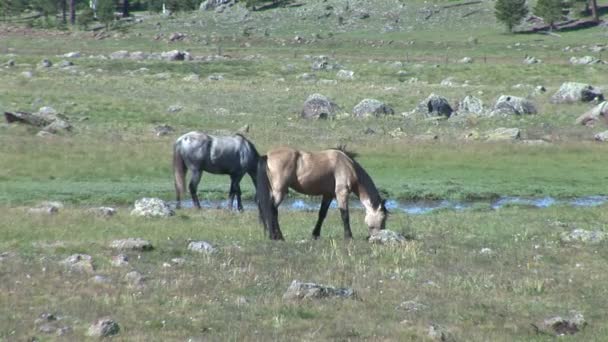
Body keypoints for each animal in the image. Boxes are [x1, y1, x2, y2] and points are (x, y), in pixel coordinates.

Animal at [254, 147, 388, 240]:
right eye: (382, 218)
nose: (378, 236)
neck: (347, 165)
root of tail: (267, 156)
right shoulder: (342, 193)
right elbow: (345, 215)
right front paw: (348, 236)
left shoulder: (328, 195)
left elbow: (322, 214)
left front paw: (315, 234)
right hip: (279, 191)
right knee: (271, 210)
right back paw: (276, 236)